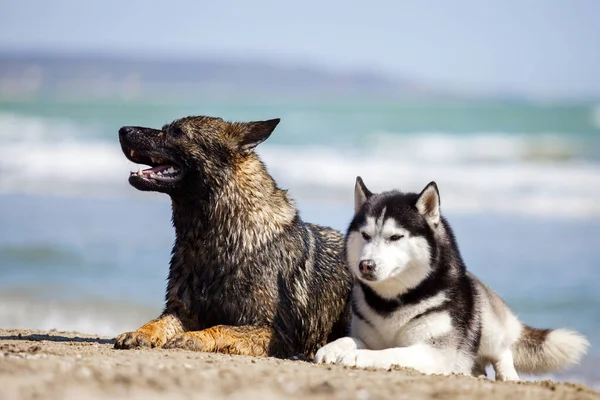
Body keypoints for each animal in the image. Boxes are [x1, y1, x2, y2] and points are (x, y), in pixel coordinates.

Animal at [113, 117, 352, 358]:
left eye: (177, 132)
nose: (123, 130)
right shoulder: (183, 312)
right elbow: (158, 322)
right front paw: (140, 332)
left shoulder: (273, 332)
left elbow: (222, 328)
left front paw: (195, 337)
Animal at [316, 178, 588, 382]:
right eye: (365, 235)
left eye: (395, 237)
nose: (366, 265)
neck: (393, 302)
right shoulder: (367, 336)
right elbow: (349, 339)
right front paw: (331, 349)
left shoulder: (433, 351)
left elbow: (390, 352)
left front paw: (359, 357)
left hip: (487, 323)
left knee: (502, 351)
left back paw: (508, 376)